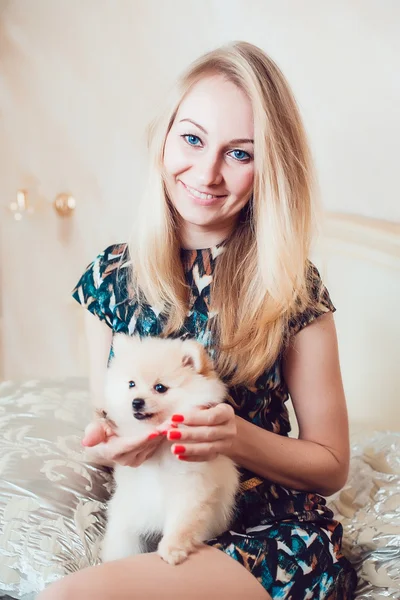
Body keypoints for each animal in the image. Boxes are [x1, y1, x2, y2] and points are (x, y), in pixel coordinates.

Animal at [101, 336, 238, 564]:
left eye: (160, 387)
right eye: (131, 384)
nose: (136, 402)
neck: (161, 448)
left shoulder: (191, 485)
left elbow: (182, 522)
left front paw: (173, 548)